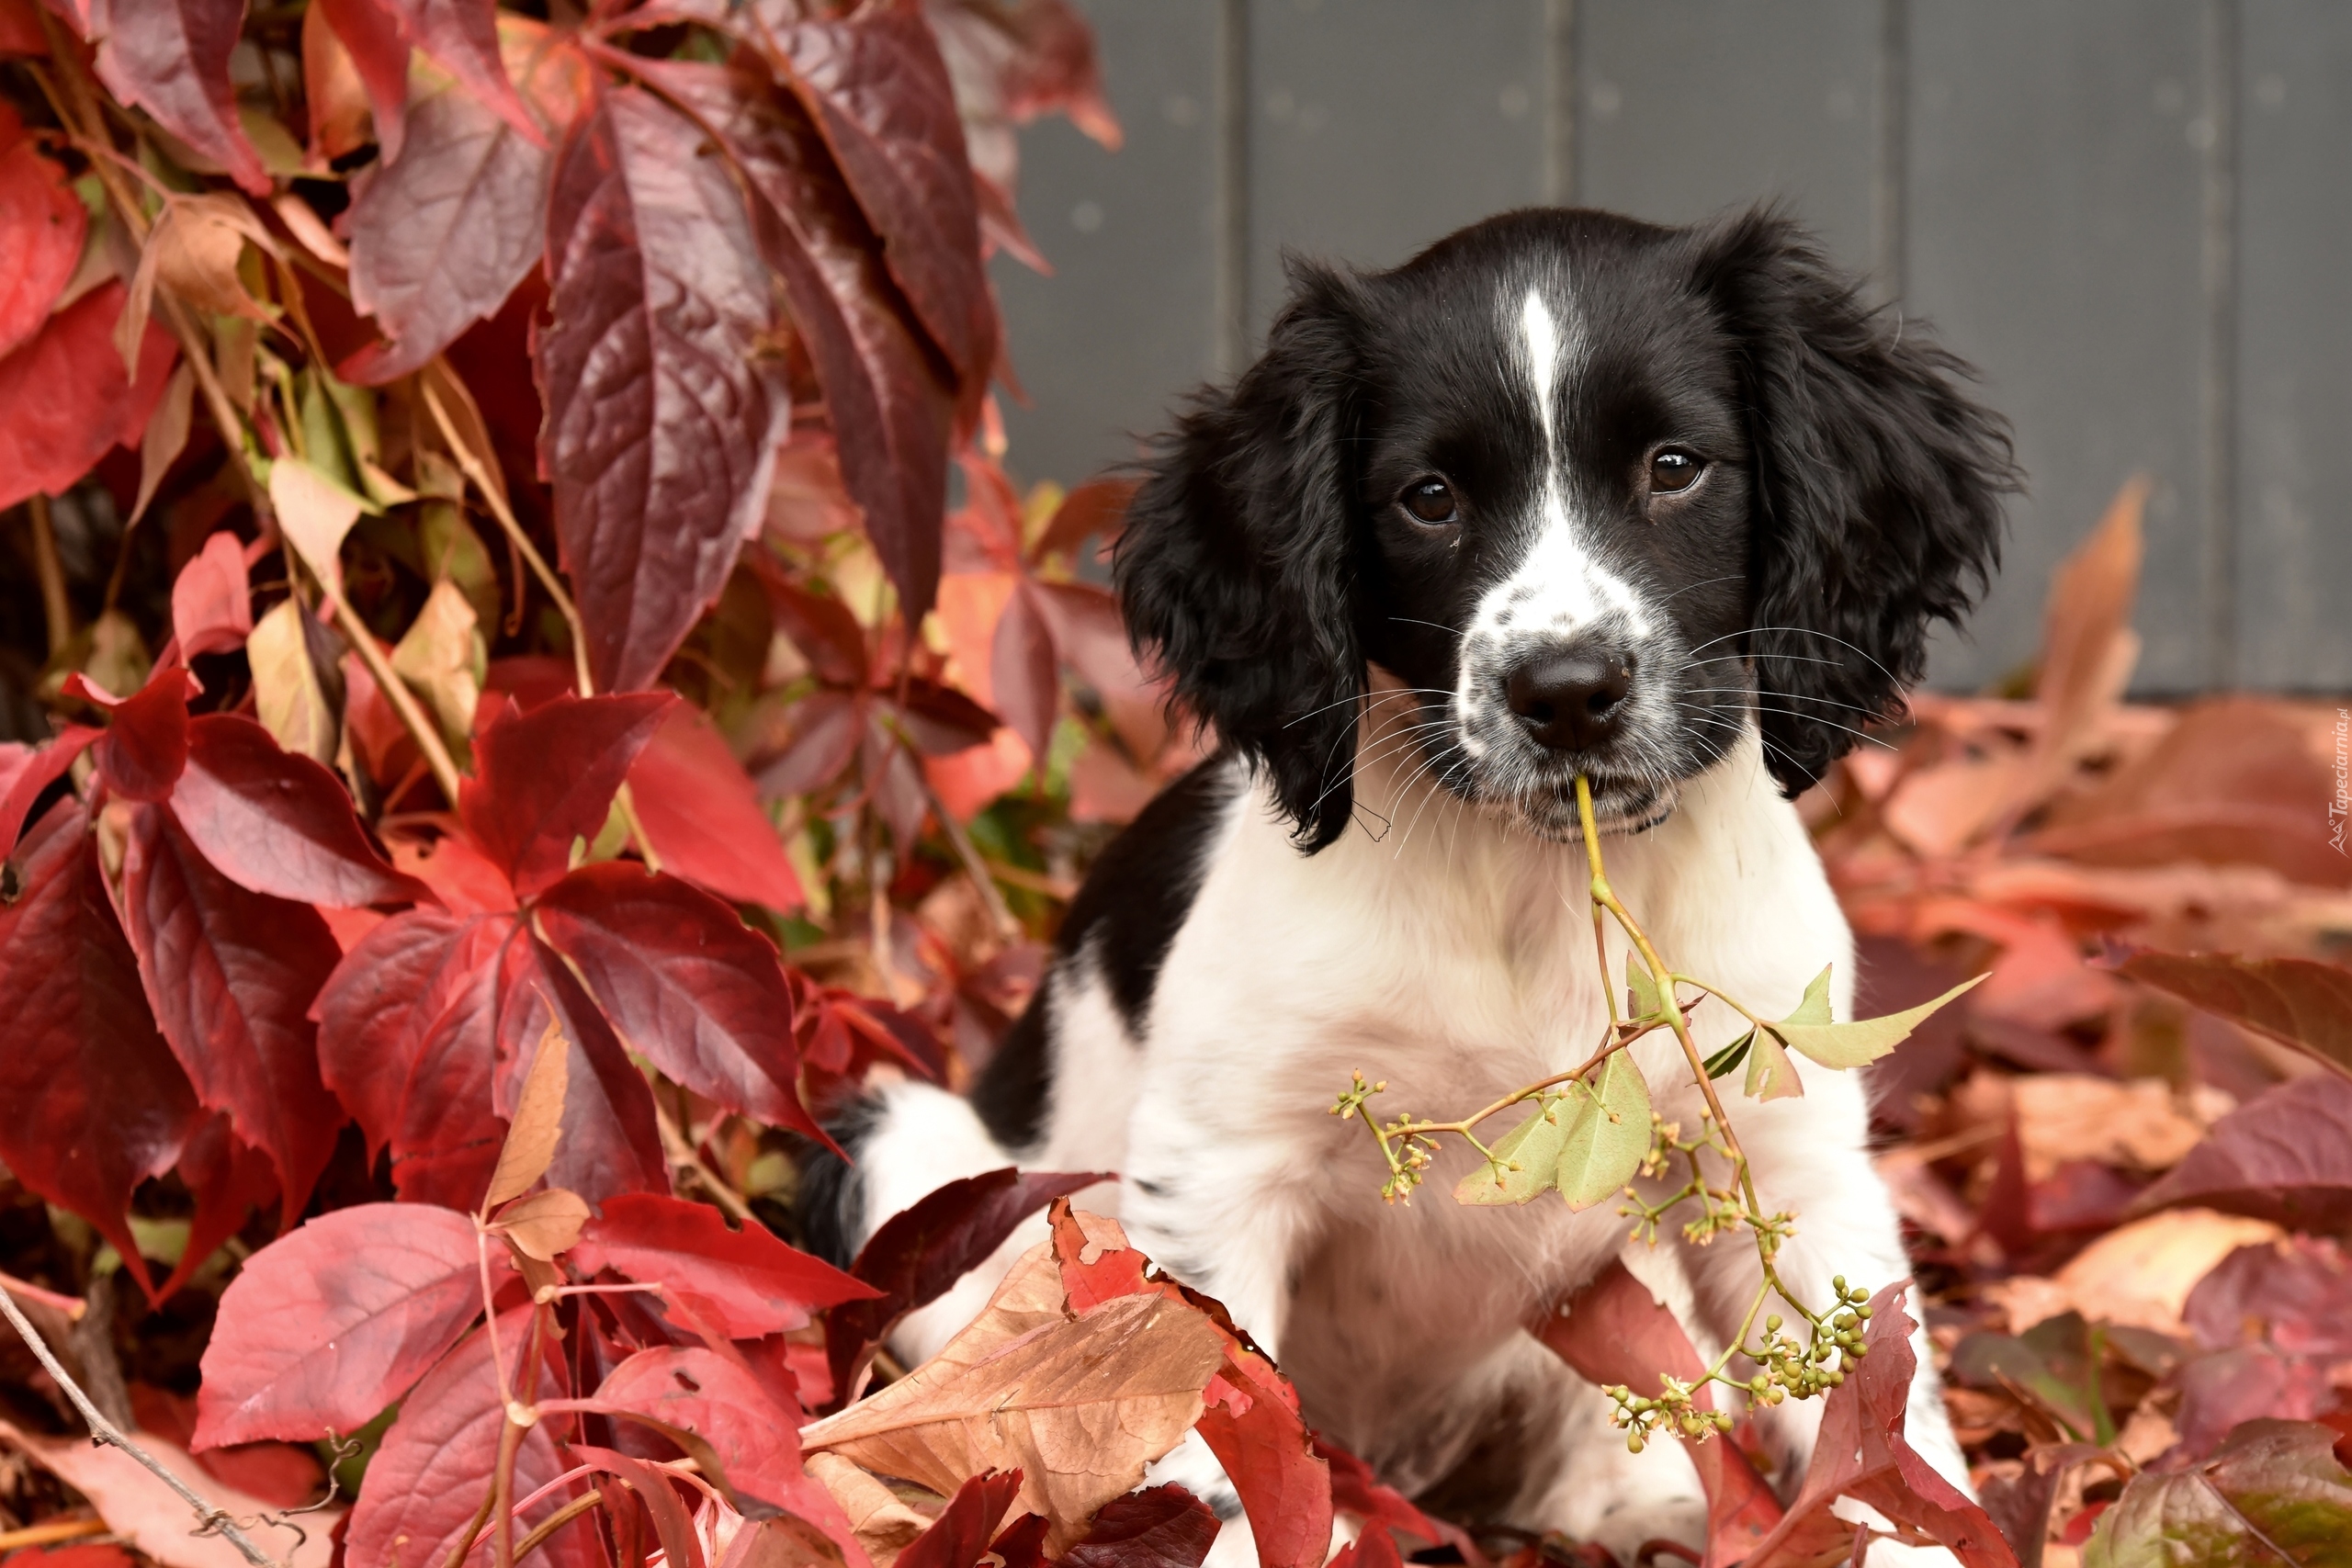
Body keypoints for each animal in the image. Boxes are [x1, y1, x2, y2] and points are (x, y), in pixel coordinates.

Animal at [804, 205, 2004, 1561]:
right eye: (1428, 499)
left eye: (1676, 465)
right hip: (909, 1152)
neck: (1539, 882)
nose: (1567, 692)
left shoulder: (1785, 1150)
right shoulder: (1221, 1160)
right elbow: (1215, 1425)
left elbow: (1881, 1421)